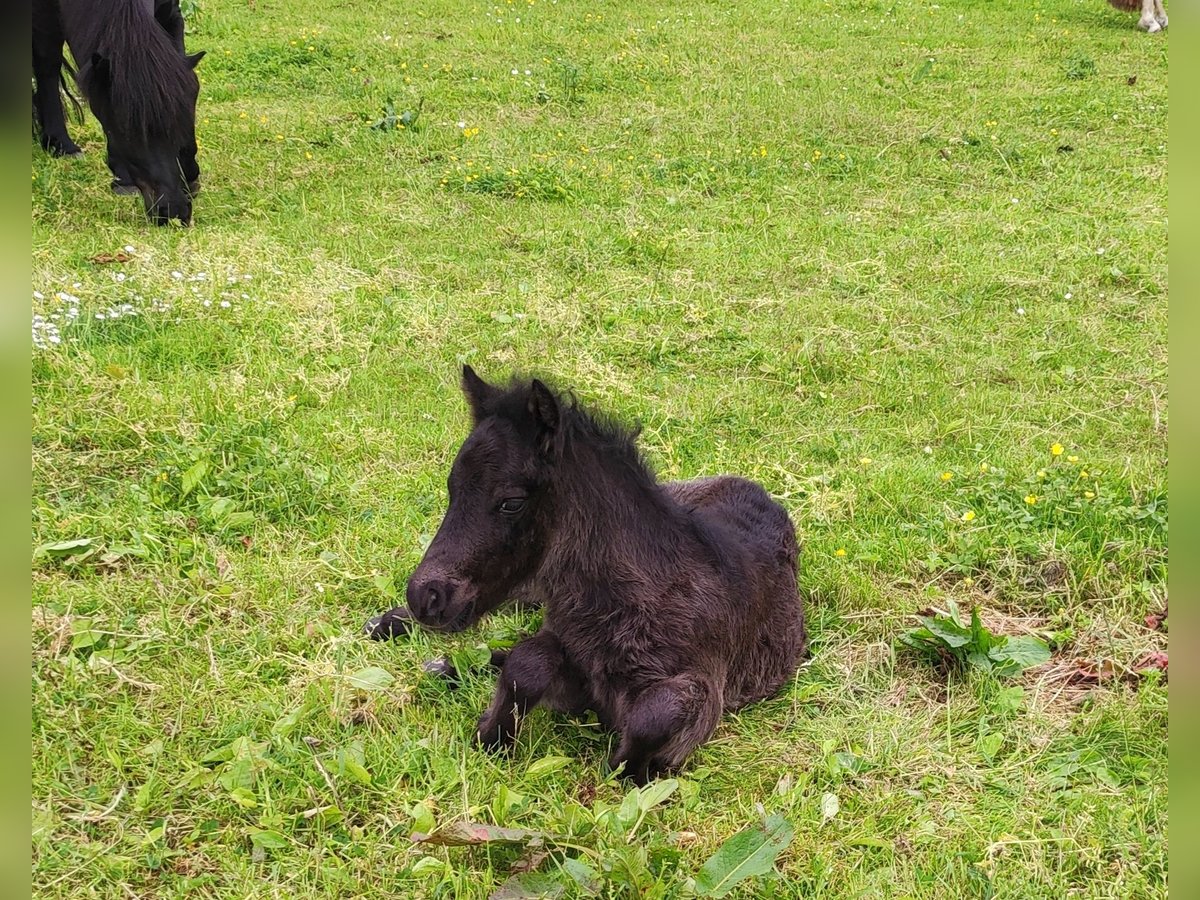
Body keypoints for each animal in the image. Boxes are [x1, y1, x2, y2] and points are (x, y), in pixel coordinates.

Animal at [403, 369, 806, 787]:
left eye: (511, 502)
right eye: (452, 489)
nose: (426, 595)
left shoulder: (704, 685)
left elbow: (654, 716)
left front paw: (634, 769)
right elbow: (526, 662)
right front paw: (492, 735)